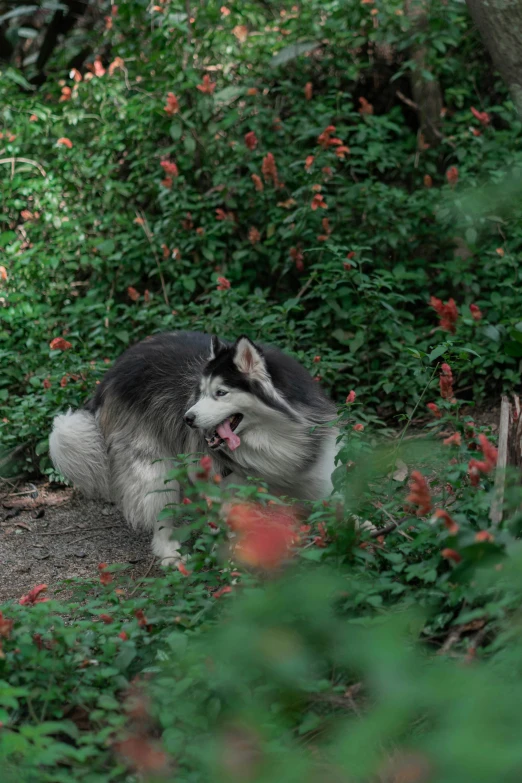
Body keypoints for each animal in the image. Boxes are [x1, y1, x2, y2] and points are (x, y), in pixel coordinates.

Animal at [49, 330, 338, 564]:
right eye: (201, 392)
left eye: (221, 393)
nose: (187, 418)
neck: (272, 433)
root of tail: (112, 372)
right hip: (153, 468)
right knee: (160, 509)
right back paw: (170, 553)